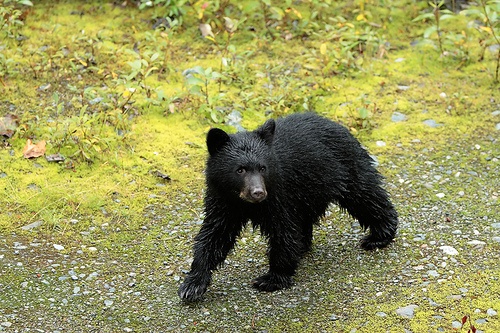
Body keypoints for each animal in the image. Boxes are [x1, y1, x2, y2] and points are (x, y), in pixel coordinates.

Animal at [178, 112, 396, 300]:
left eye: (263, 168)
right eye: (240, 170)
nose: (258, 192)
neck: (245, 203)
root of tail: (339, 125)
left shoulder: (280, 195)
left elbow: (284, 230)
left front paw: (272, 278)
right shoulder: (223, 201)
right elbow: (214, 235)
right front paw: (192, 284)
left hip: (345, 167)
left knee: (365, 195)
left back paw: (380, 235)